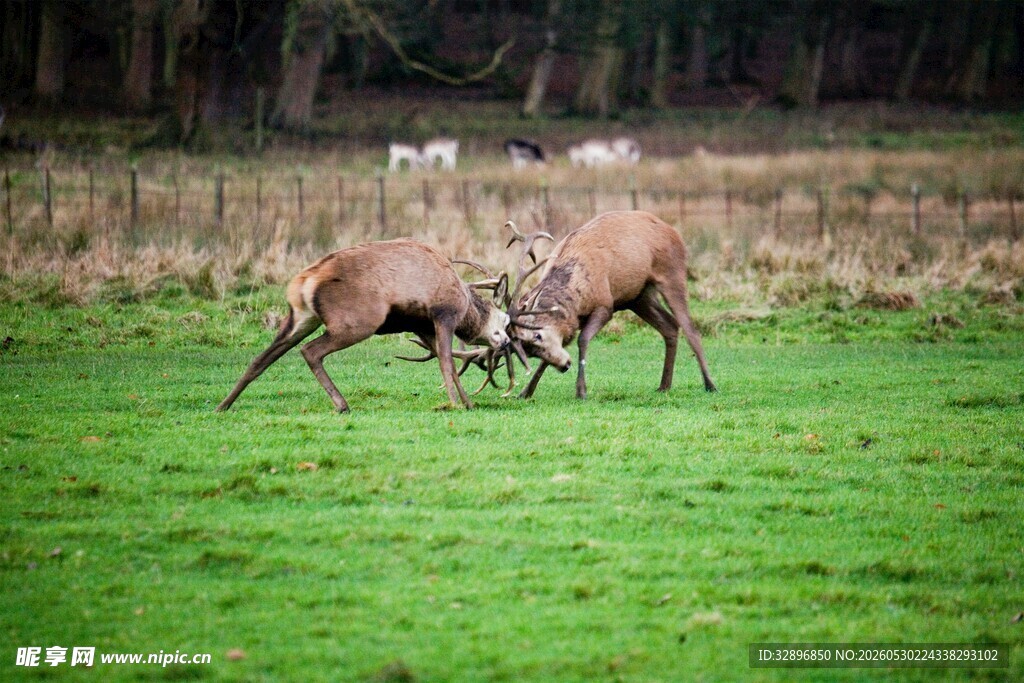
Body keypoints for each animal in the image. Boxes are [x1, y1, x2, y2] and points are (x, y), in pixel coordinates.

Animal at [216, 239, 511, 413]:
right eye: (505, 321)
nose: (507, 342)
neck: (466, 306)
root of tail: (304, 282)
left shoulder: (421, 325)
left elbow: (442, 358)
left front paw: (467, 402)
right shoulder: (443, 314)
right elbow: (447, 362)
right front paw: (456, 403)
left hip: (300, 318)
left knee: (262, 358)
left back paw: (223, 404)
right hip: (355, 322)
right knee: (310, 351)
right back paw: (341, 404)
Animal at [504, 211, 716, 400]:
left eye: (537, 335)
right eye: (529, 351)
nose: (564, 366)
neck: (576, 298)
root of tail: (674, 232)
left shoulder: (605, 304)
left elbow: (583, 339)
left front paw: (581, 391)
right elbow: (558, 348)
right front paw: (525, 392)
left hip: (673, 273)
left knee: (690, 329)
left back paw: (710, 384)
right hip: (638, 296)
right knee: (670, 325)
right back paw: (664, 385)